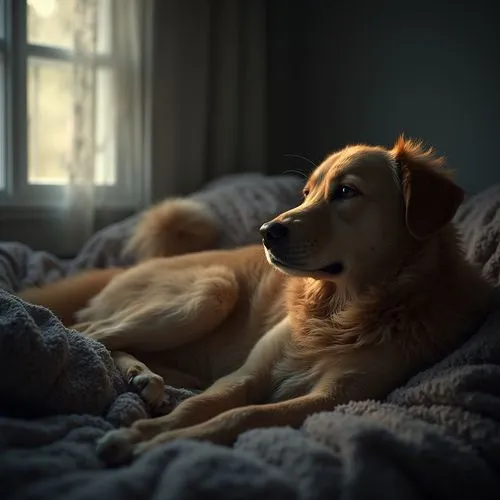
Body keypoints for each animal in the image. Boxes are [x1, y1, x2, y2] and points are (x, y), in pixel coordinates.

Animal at [19, 137, 492, 464]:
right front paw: (142, 433)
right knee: (85, 331)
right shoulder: (247, 374)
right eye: (306, 193)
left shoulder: (333, 399)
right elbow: (199, 405)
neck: (335, 311)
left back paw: (145, 377)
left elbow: (240, 416)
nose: (267, 231)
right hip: (211, 291)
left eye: (346, 192)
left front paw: (157, 441)